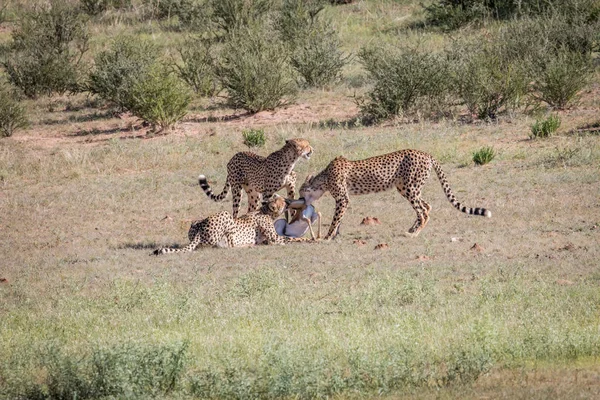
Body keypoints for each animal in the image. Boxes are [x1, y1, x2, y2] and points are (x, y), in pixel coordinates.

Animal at [152, 195, 288, 256]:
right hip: (226, 215)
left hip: (196, 223)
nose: (287, 201)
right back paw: (247, 245)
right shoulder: (274, 236)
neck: (265, 210)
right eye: (282, 201)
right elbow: (285, 239)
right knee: (230, 245)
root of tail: (199, 229)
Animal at [298, 148, 492, 239]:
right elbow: (339, 219)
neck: (324, 179)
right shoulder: (344, 199)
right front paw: (335, 235)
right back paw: (412, 229)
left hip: (409, 188)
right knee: (427, 206)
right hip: (406, 188)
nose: (300, 199)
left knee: (423, 211)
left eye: (301, 191)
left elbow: (335, 219)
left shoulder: (343, 199)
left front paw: (327, 236)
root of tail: (426, 153)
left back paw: (414, 233)